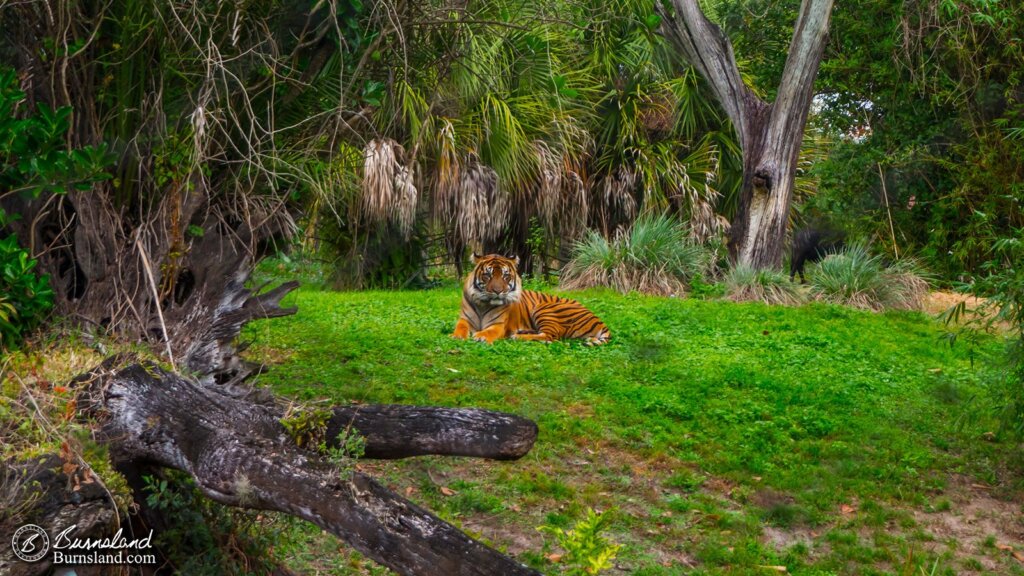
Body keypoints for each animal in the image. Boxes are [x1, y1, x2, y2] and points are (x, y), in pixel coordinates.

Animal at [454, 253, 610, 342]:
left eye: (506, 276)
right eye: (487, 275)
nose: (498, 291)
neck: (483, 304)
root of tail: (599, 320)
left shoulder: (498, 325)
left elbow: (489, 331)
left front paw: (481, 336)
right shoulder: (465, 319)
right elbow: (460, 327)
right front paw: (457, 336)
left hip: (544, 308)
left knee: (550, 337)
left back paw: (517, 336)